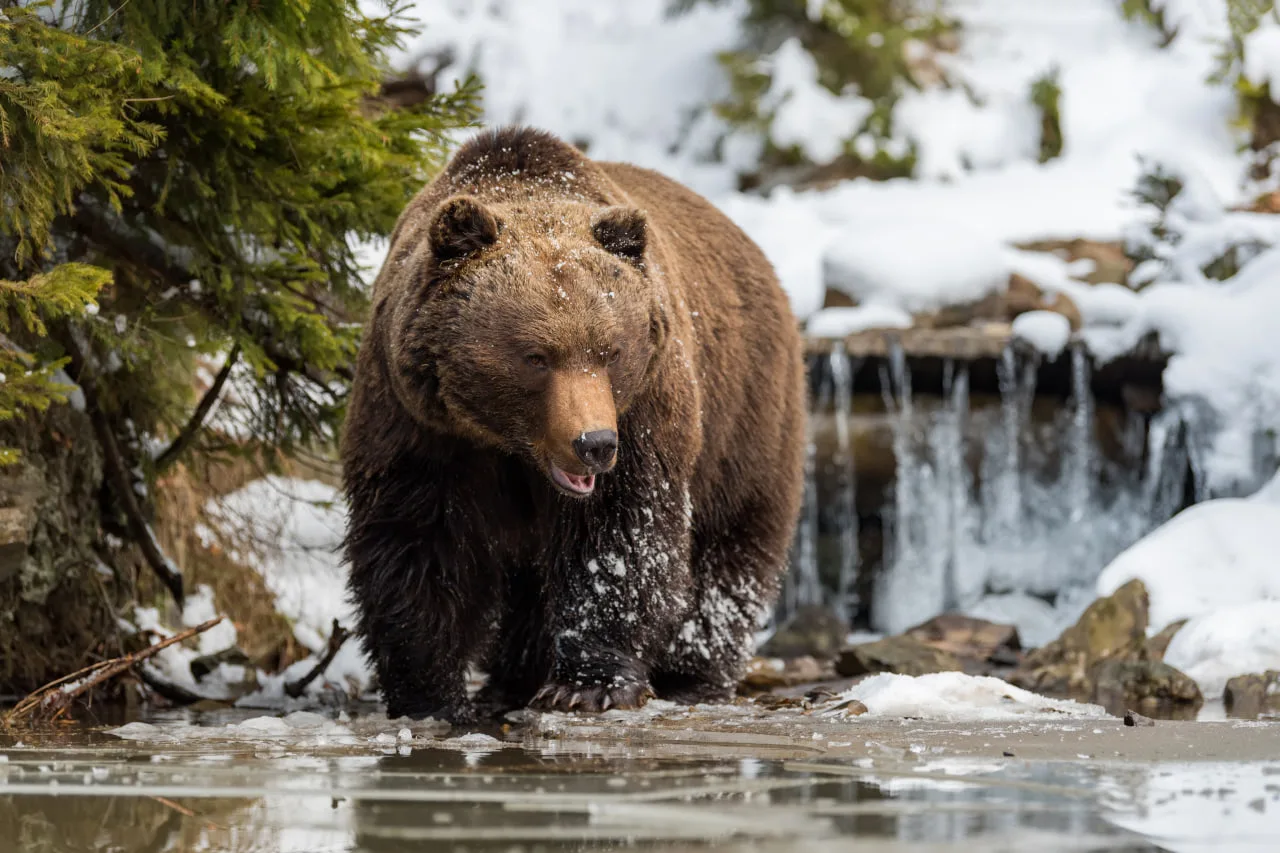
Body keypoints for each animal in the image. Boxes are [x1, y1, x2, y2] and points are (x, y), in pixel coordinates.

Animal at [342, 126, 806, 722]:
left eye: (611, 351)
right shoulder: (417, 421)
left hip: (746, 414)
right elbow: (418, 540)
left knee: (730, 546)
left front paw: (589, 684)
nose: (594, 444)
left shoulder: (644, 411)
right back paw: (513, 678)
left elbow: (618, 538)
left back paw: (692, 675)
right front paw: (430, 695)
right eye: (536, 356)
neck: (509, 444)